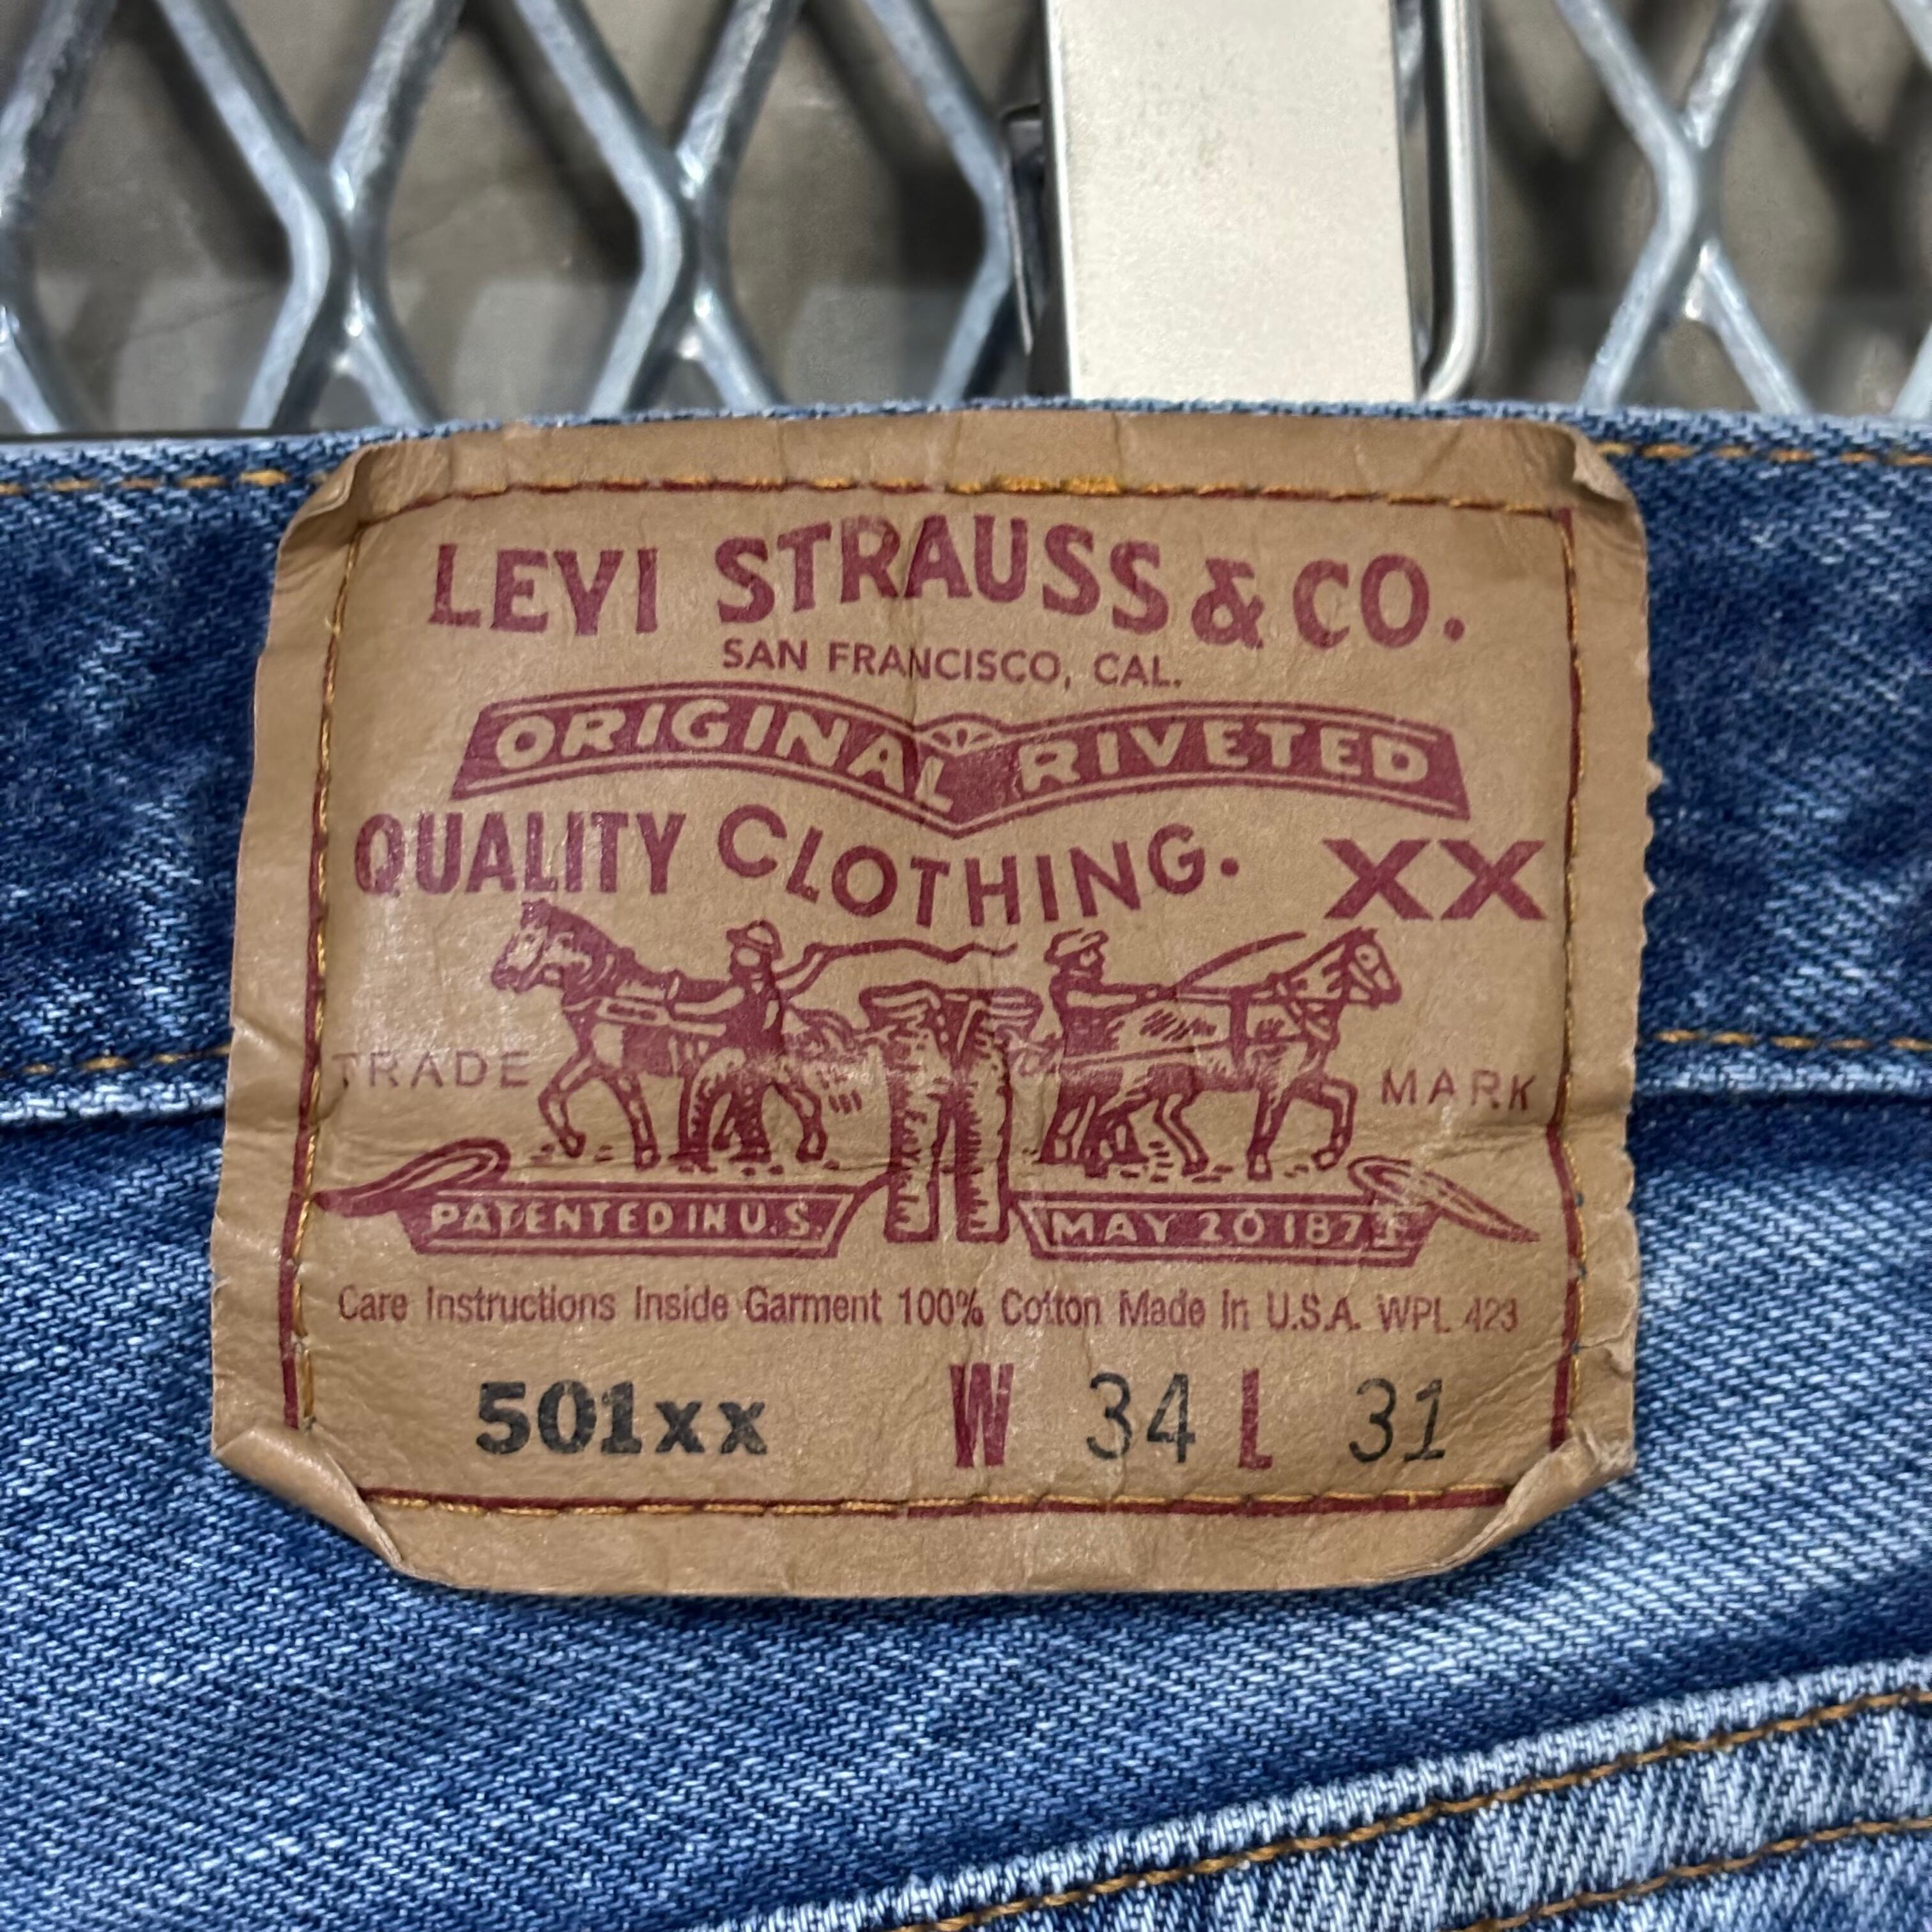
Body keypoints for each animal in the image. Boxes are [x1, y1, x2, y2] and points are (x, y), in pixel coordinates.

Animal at [1069, 928, 1400, 1182]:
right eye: (1366, 957)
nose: (1394, 992)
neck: (1298, 1008)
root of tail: (1121, 1022)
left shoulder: (1304, 1079)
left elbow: (1345, 1097)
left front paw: (1328, 1155)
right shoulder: (1278, 1082)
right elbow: (1270, 1125)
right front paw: (1260, 1166)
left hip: (1173, 1086)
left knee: (1160, 1116)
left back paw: (1194, 1160)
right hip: (1138, 1085)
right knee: (1104, 1115)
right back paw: (1093, 1163)